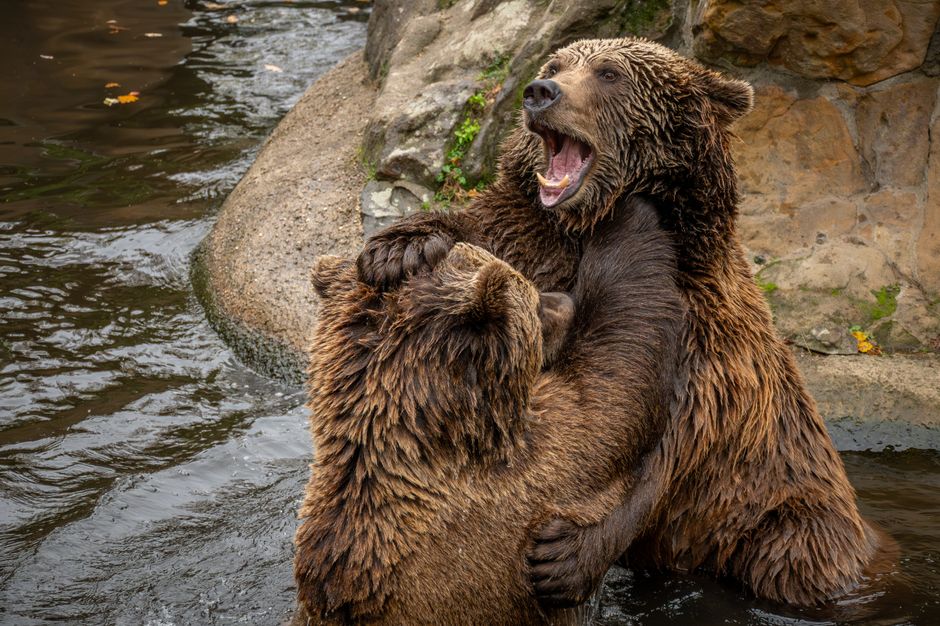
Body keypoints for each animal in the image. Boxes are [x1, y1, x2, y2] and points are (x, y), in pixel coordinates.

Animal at [355, 37, 892, 608]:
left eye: (609, 73)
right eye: (555, 64)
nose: (540, 92)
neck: (586, 223)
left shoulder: (702, 336)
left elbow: (664, 450)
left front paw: (565, 557)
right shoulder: (534, 240)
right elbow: (488, 241)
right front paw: (396, 248)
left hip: (784, 513)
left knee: (789, 551)